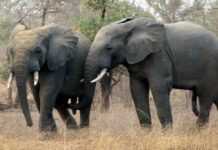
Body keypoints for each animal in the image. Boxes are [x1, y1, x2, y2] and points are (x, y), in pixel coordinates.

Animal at [84, 16, 218, 129]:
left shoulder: (159, 55)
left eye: (109, 48)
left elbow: (159, 87)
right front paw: (146, 133)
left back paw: (197, 131)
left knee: (205, 96)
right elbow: (137, 89)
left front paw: (167, 134)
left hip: (211, 68)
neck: (128, 27)